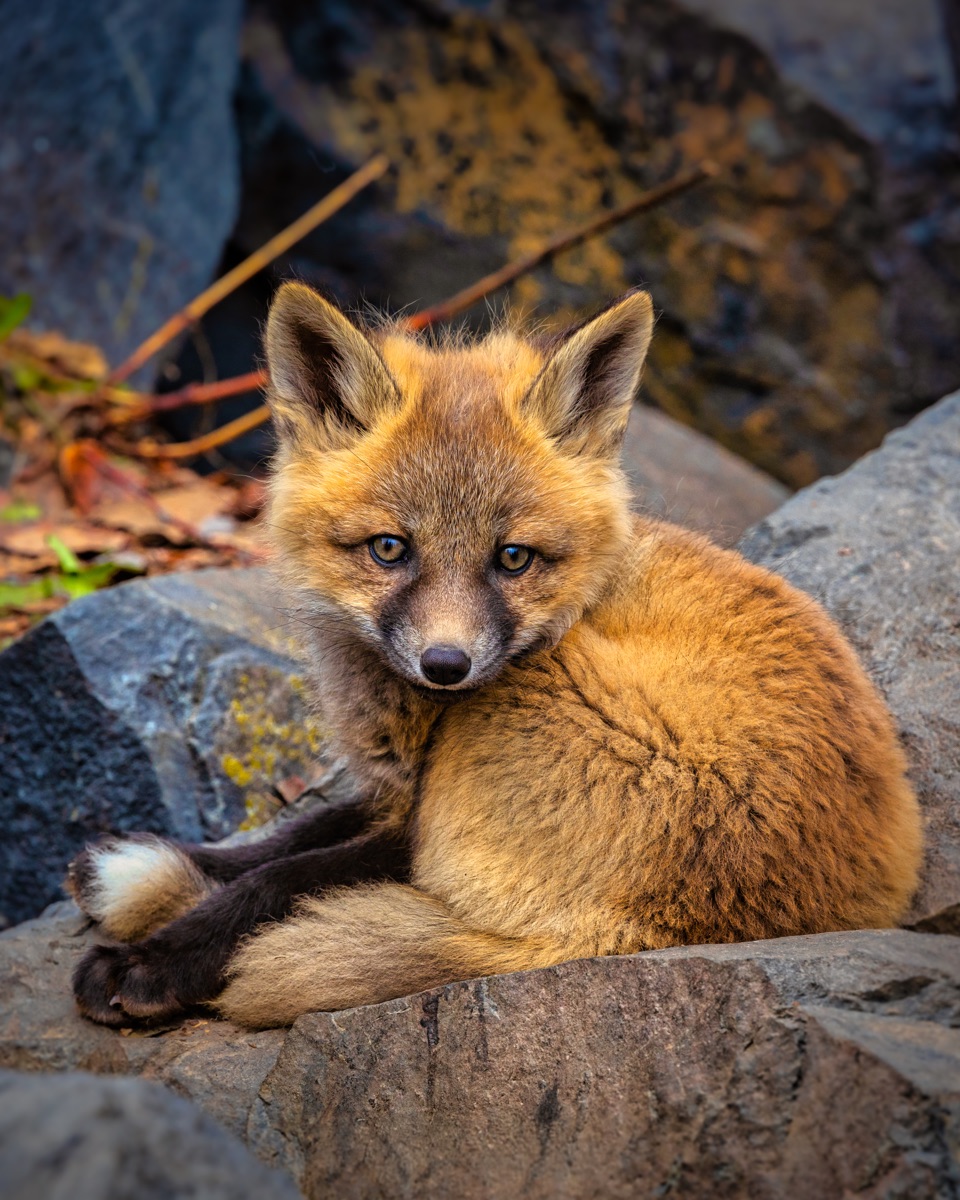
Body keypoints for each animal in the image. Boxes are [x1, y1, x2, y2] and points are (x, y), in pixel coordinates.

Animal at [67, 283, 923, 1030]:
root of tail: (662, 928)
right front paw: (156, 861)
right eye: (390, 549)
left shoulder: (417, 822)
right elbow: (281, 838)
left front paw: (150, 960)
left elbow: (278, 878)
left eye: (512, 558)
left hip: (522, 704)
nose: (447, 664)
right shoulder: (398, 793)